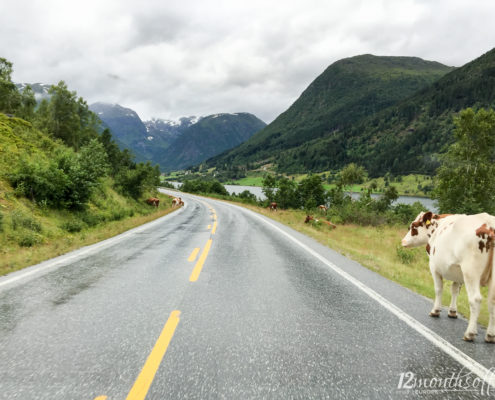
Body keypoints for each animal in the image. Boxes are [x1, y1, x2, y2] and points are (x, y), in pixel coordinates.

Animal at [402, 211, 495, 342]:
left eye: (413, 226)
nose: (403, 241)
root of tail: (489, 223)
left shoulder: (434, 267)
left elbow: (438, 289)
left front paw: (435, 311)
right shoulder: (458, 272)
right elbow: (455, 290)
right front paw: (452, 312)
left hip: (470, 271)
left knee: (475, 299)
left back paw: (470, 333)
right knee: (492, 301)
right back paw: (490, 335)